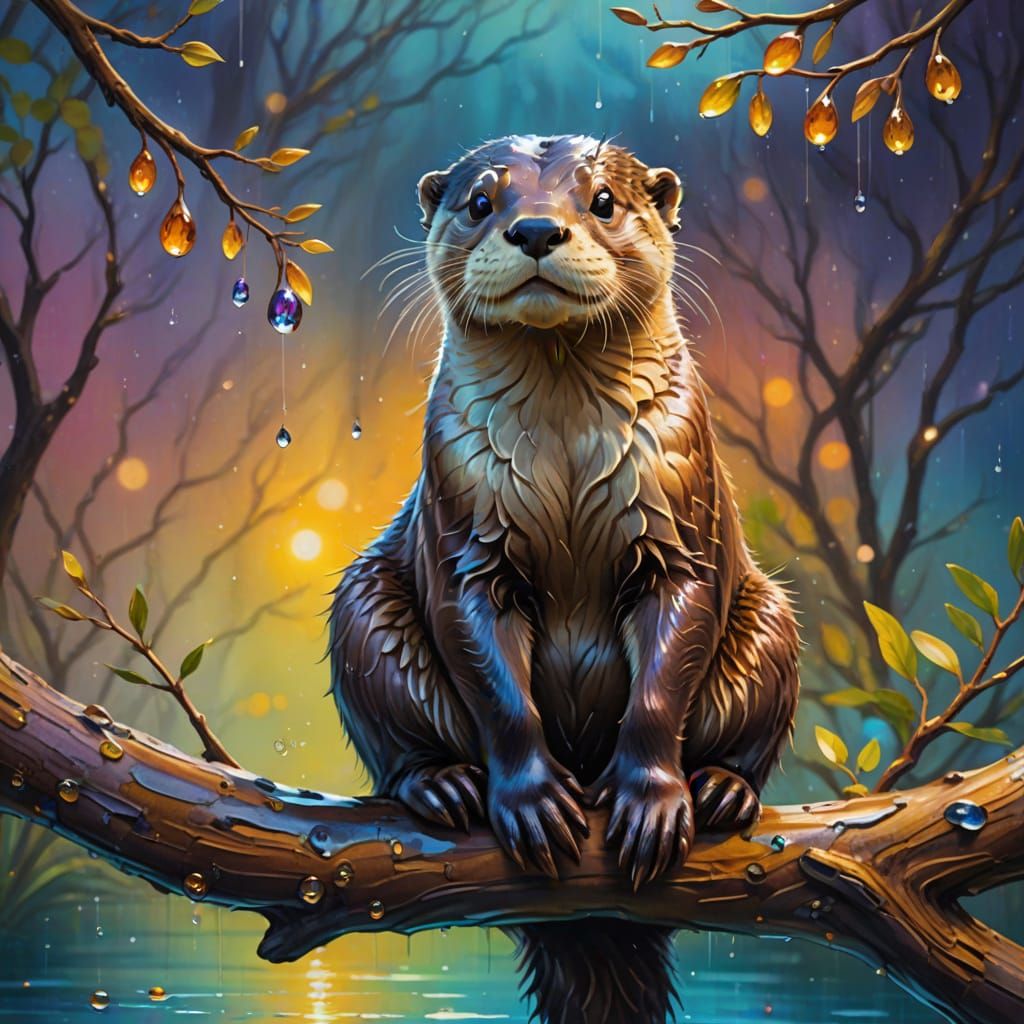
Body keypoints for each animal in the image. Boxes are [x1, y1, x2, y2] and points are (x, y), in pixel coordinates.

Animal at [329, 134, 800, 1024]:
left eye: (604, 201)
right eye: (481, 202)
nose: (538, 229)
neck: (565, 454)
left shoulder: (681, 530)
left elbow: (667, 670)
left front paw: (649, 800)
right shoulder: (463, 538)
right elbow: (495, 685)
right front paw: (532, 801)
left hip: (771, 623)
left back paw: (723, 789)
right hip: (365, 609)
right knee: (393, 727)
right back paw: (442, 785)